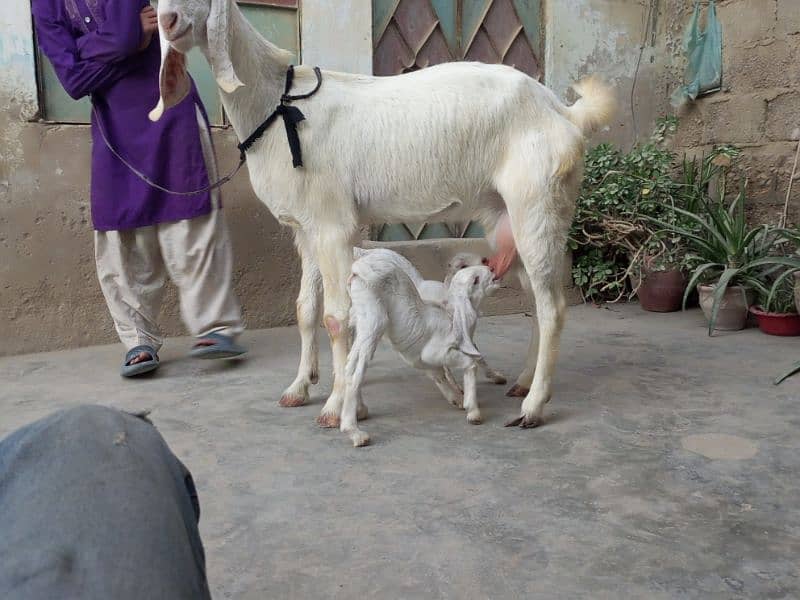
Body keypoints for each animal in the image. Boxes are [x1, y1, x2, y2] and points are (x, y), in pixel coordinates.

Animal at [148, 0, 612, 432]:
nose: (168, 21)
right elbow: (304, 309)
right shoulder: (306, 228)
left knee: (553, 306)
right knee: (536, 298)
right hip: (505, 217)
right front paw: (299, 387)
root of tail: (564, 112)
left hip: (539, 205)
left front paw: (337, 405)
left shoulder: (333, 225)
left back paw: (533, 407)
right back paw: (522, 382)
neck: (277, 104)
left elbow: (337, 317)